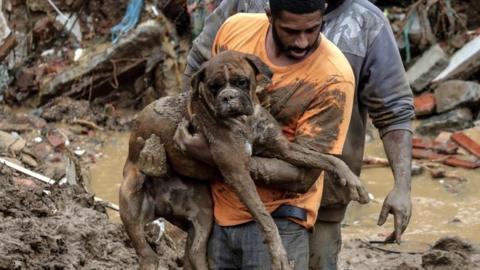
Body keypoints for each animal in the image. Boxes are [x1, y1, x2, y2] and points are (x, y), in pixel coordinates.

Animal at [119, 50, 368, 270]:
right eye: (214, 86)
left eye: (241, 81)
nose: (227, 97)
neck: (245, 121)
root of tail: (163, 203)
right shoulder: (238, 173)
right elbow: (265, 218)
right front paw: (278, 254)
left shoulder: (285, 148)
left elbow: (325, 158)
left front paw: (353, 181)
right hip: (129, 202)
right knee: (148, 256)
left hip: (203, 215)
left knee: (195, 254)